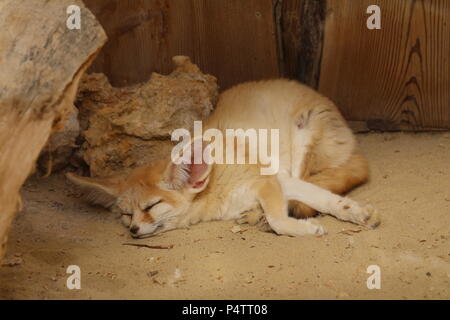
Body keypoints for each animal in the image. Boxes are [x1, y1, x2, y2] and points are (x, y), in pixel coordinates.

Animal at [67, 79, 380, 238]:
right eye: (126, 214)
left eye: (151, 206)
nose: (132, 230)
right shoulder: (275, 183)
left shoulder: (274, 178)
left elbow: (304, 206)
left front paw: (349, 213)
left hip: (303, 139)